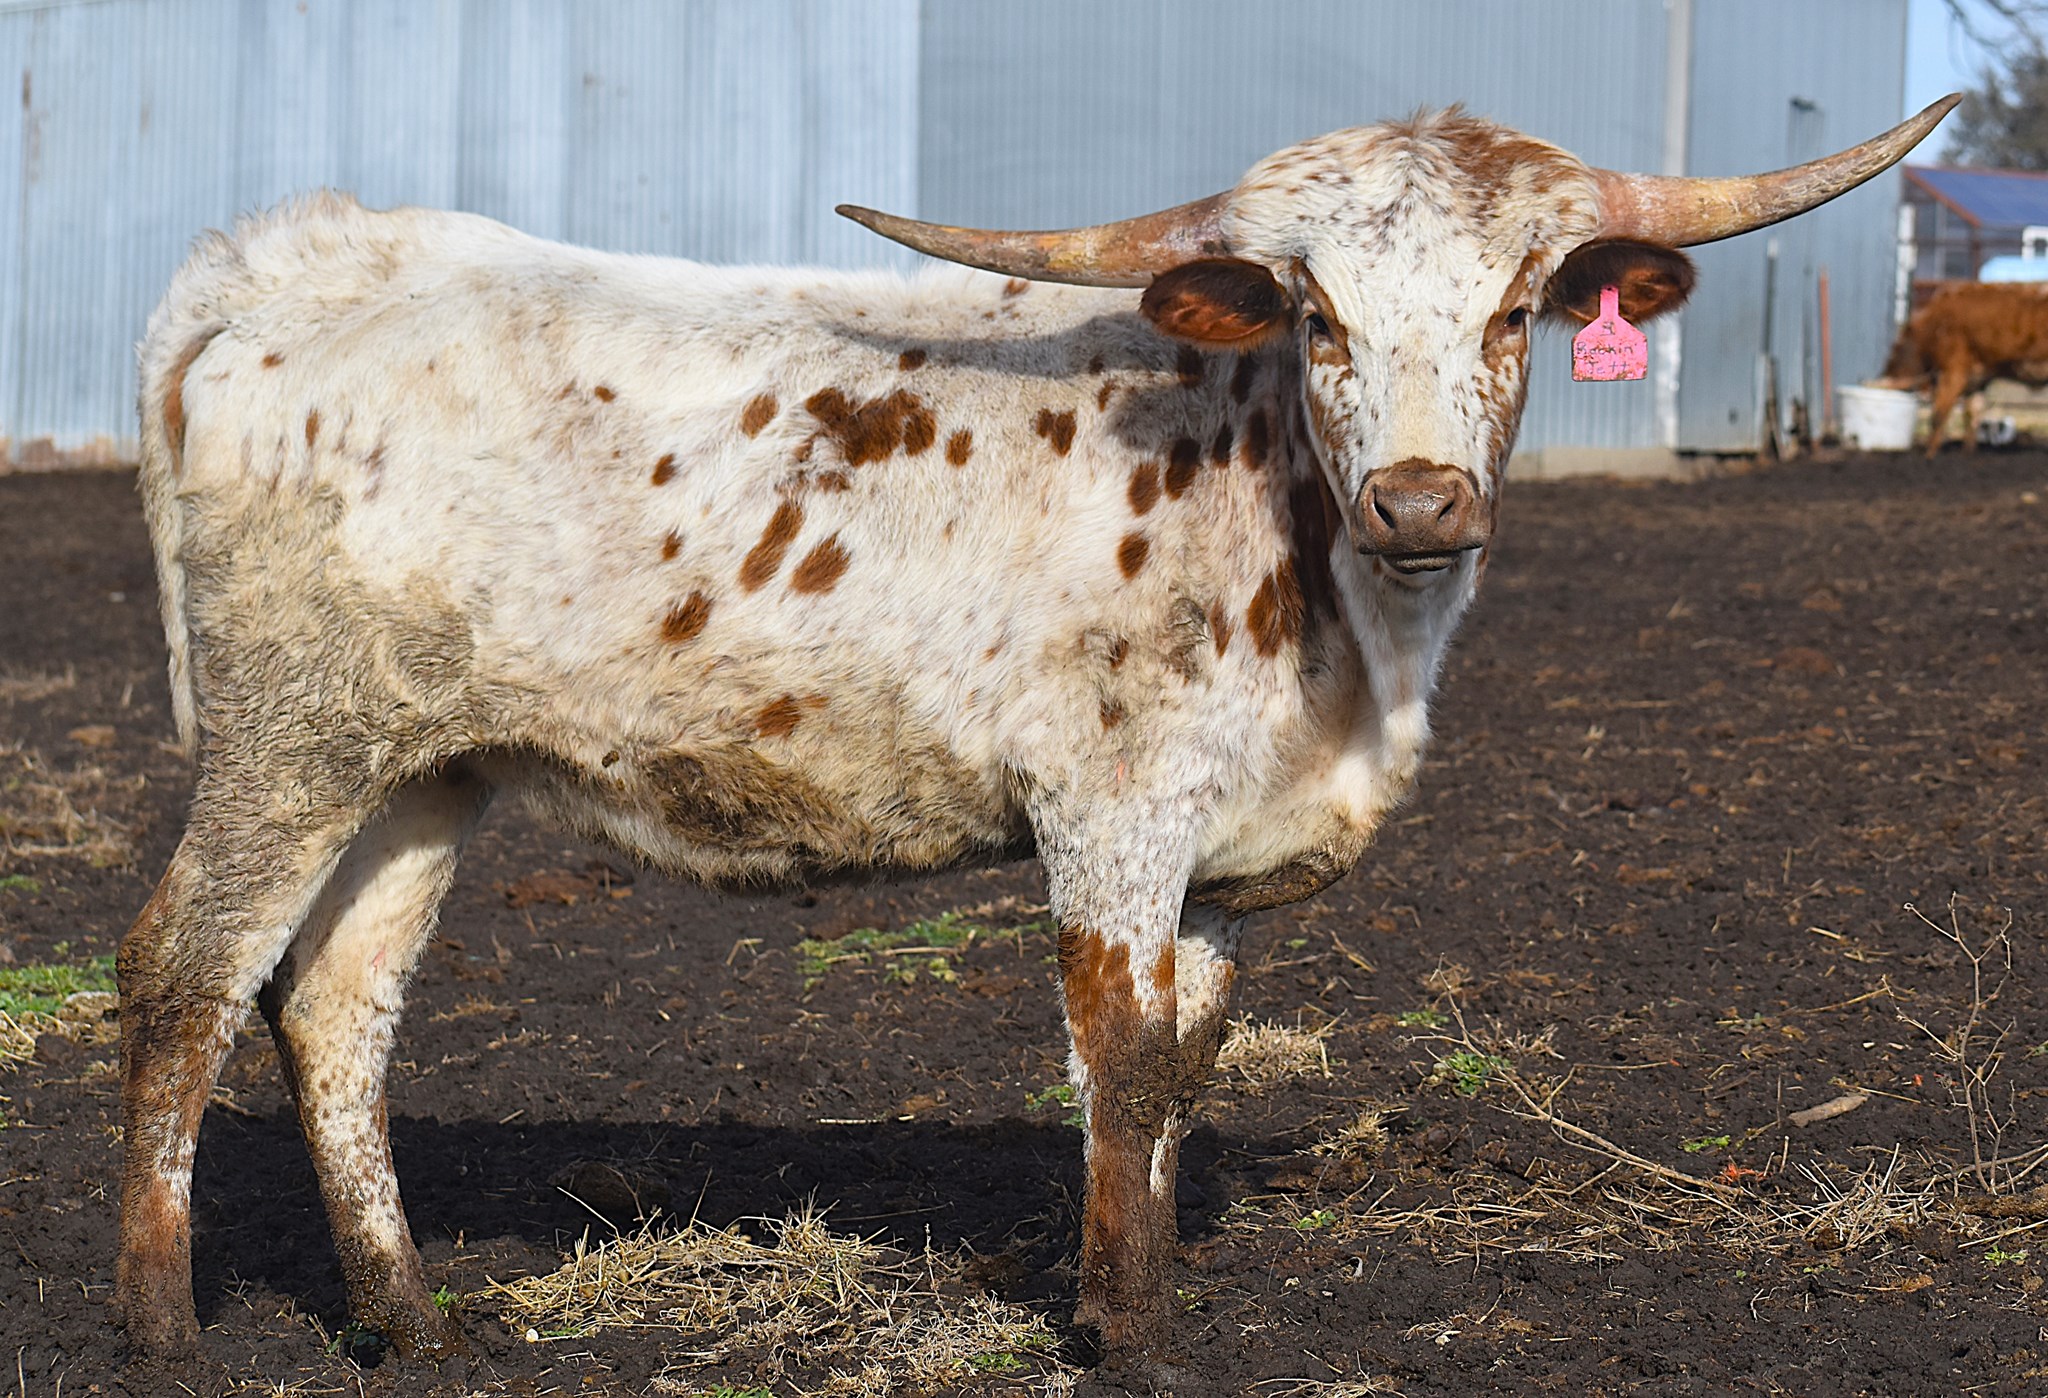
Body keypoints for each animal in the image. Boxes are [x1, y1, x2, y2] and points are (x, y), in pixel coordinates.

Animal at [115, 97, 1952, 1387]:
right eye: (1319, 316)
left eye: (1517, 309)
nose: (1422, 498)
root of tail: (290, 259)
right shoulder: (1110, 812)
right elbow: (1118, 1061)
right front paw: (1129, 1339)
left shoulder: (1214, 855)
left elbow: (1183, 1065)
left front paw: (1147, 1290)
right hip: (289, 741)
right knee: (183, 976)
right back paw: (159, 1330)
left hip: (417, 768)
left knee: (334, 1006)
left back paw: (415, 1325)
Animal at [1881, 279, 2048, 455]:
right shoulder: (1978, 377)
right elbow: (1971, 414)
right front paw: (1967, 452)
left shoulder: (1954, 371)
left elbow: (1938, 415)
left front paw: (1929, 455)